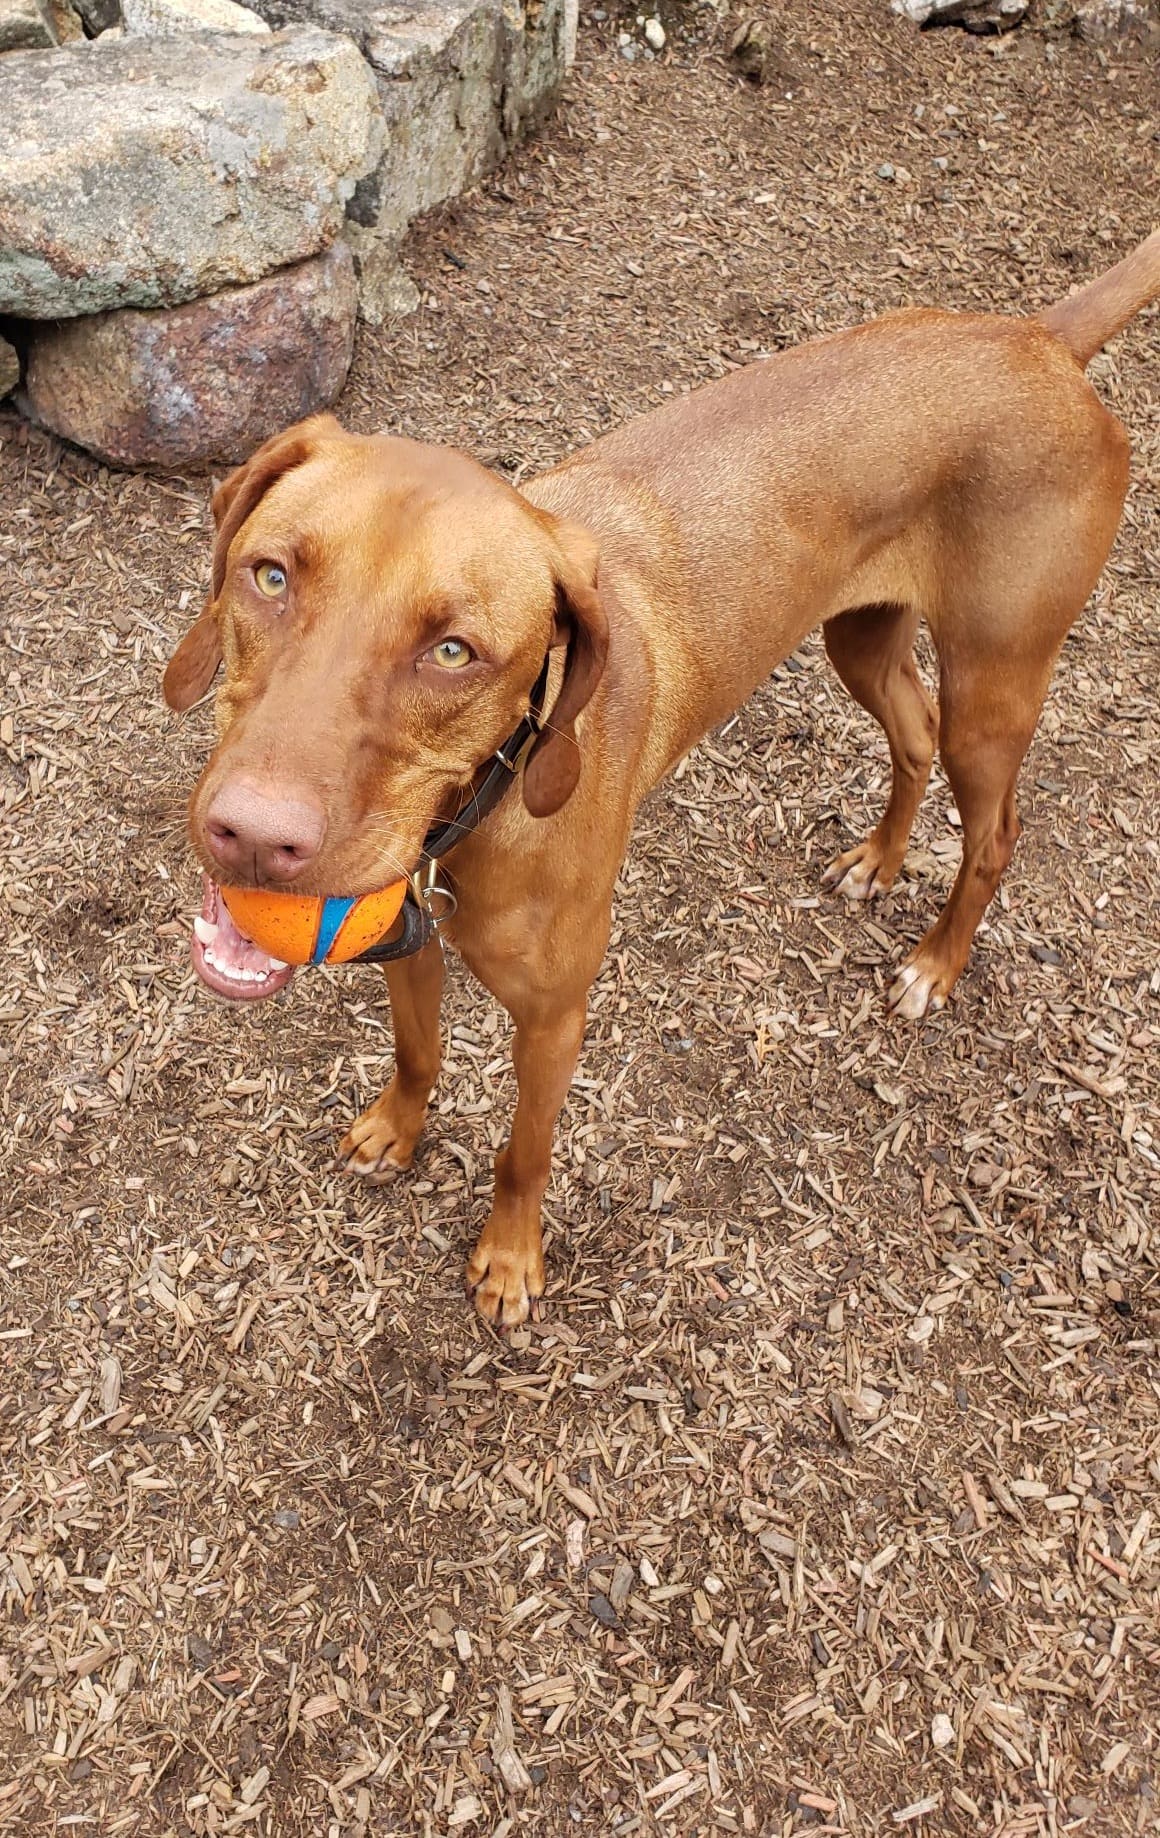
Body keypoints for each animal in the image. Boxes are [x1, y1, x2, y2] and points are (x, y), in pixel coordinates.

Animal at [163, 226, 1160, 1323]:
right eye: (269, 575)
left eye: (454, 651)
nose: (255, 839)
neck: (479, 812)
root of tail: (1038, 337)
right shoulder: (407, 944)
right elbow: (416, 1050)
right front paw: (397, 1128)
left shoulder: (555, 1017)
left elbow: (524, 1153)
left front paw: (509, 1263)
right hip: (862, 638)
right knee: (911, 733)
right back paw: (877, 859)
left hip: (995, 682)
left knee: (992, 828)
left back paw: (934, 963)